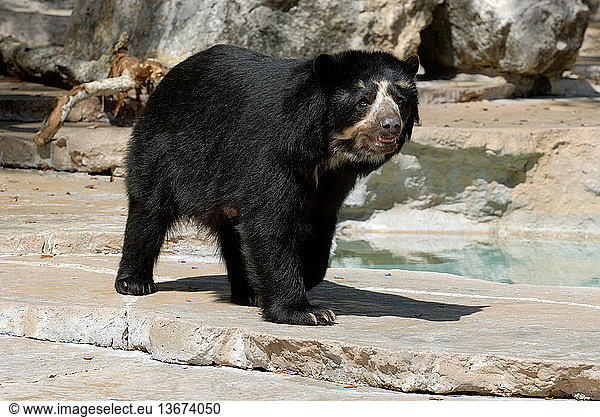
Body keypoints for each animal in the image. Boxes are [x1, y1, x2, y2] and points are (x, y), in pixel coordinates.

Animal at [115, 44, 420, 324]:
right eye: (363, 101)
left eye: (400, 100)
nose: (390, 125)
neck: (325, 147)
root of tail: (165, 82)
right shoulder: (273, 150)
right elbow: (270, 222)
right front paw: (306, 311)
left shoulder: (333, 179)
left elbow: (319, 225)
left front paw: (305, 276)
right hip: (165, 149)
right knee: (149, 210)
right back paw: (135, 282)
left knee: (234, 235)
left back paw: (247, 291)